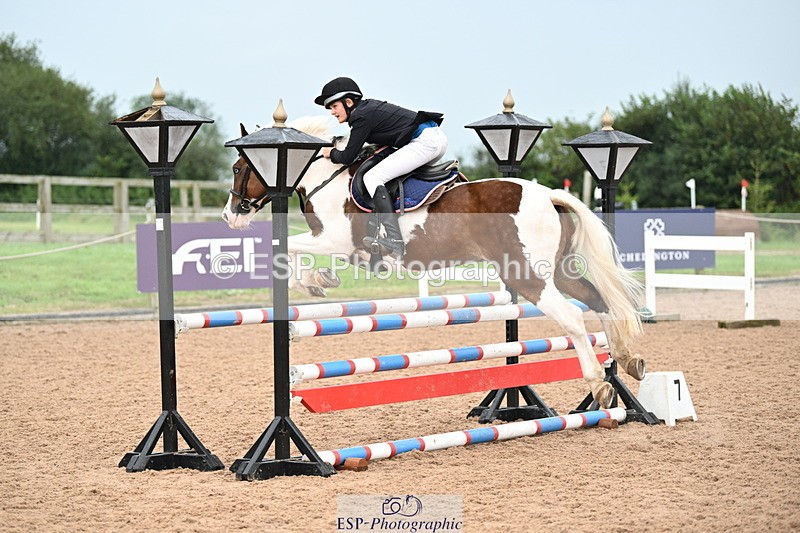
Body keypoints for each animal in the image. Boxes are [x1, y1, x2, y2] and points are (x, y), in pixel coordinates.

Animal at [221, 116, 646, 408]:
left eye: (239, 168)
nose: (230, 216)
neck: (328, 177)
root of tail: (549, 195)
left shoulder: (336, 241)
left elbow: (287, 248)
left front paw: (316, 280)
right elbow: (289, 250)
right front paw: (319, 280)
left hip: (529, 277)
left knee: (573, 316)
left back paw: (600, 385)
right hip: (553, 271)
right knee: (598, 299)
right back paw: (629, 360)